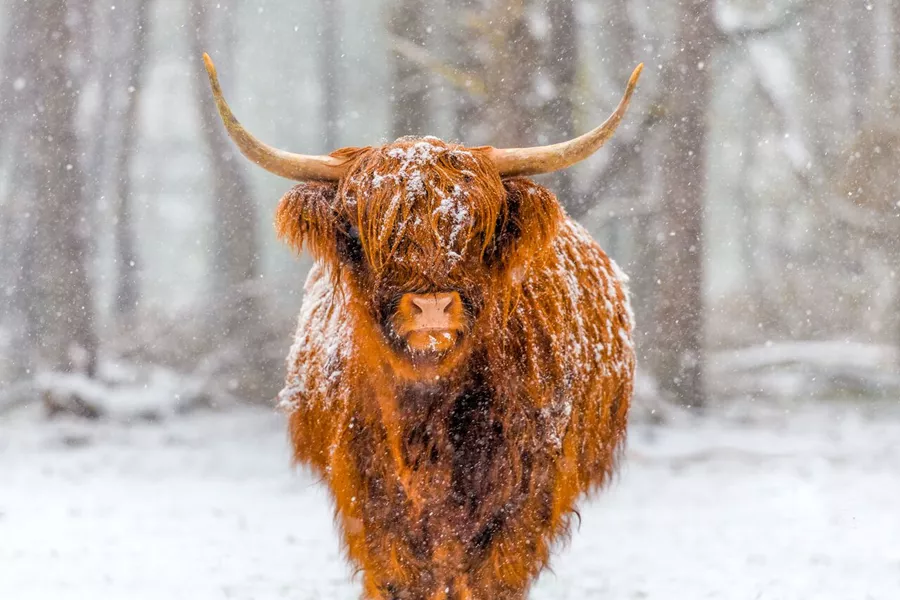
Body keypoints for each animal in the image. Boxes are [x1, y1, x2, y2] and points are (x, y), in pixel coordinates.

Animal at [203, 53, 640, 600]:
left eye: (480, 231)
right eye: (359, 230)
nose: (432, 306)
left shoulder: (524, 496)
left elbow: (490, 575)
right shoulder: (370, 501)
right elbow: (399, 574)